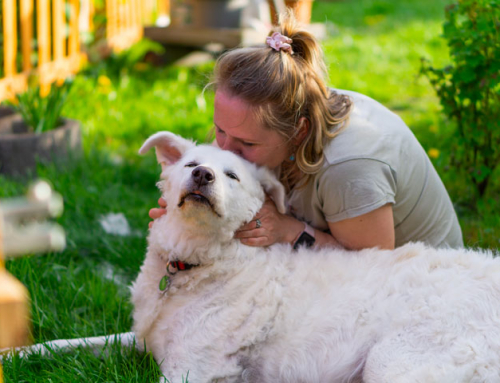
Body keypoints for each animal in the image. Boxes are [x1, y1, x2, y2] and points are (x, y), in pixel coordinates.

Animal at [132, 133, 500, 383]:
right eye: (190, 165)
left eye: (232, 176)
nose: (202, 175)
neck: (192, 263)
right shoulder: (142, 341)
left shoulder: (190, 369)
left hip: (392, 359)